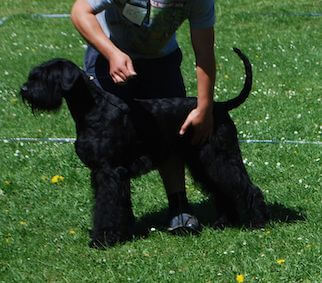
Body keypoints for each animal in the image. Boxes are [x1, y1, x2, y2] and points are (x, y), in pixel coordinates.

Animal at [20, 48, 270, 248]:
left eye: (45, 77)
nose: (24, 89)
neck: (92, 109)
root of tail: (219, 107)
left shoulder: (110, 172)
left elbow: (106, 207)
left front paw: (102, 240)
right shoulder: (103, 174)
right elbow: (115, 205)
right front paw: (120, 233)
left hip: (220, 157)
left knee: (246, 187)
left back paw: (257, 222)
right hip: (203, 162)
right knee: (222, 190)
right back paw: (224, 222)